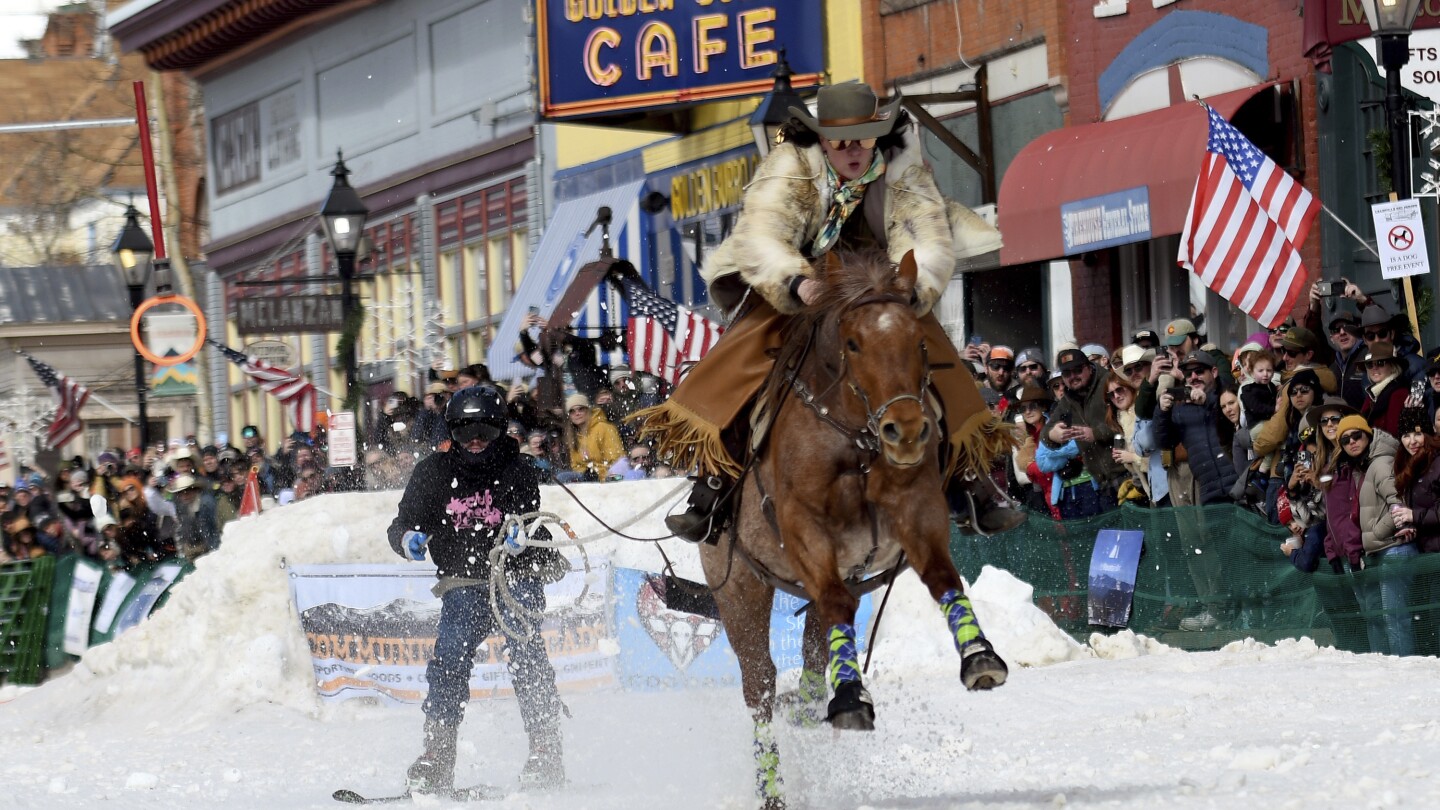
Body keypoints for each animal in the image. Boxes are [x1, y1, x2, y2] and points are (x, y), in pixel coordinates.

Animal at [702, 249, 1008, 801]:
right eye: (852, 343)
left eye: (920, 341)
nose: (906, 431)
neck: (856, 443)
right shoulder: (805, 529)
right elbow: (836, 603)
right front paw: (850, 698)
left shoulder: (917, 511)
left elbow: (942, 578)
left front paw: (979, 655)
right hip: (738, 589)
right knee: (759, 685)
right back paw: (773, 787)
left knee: (812, 649)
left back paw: (807, 702)